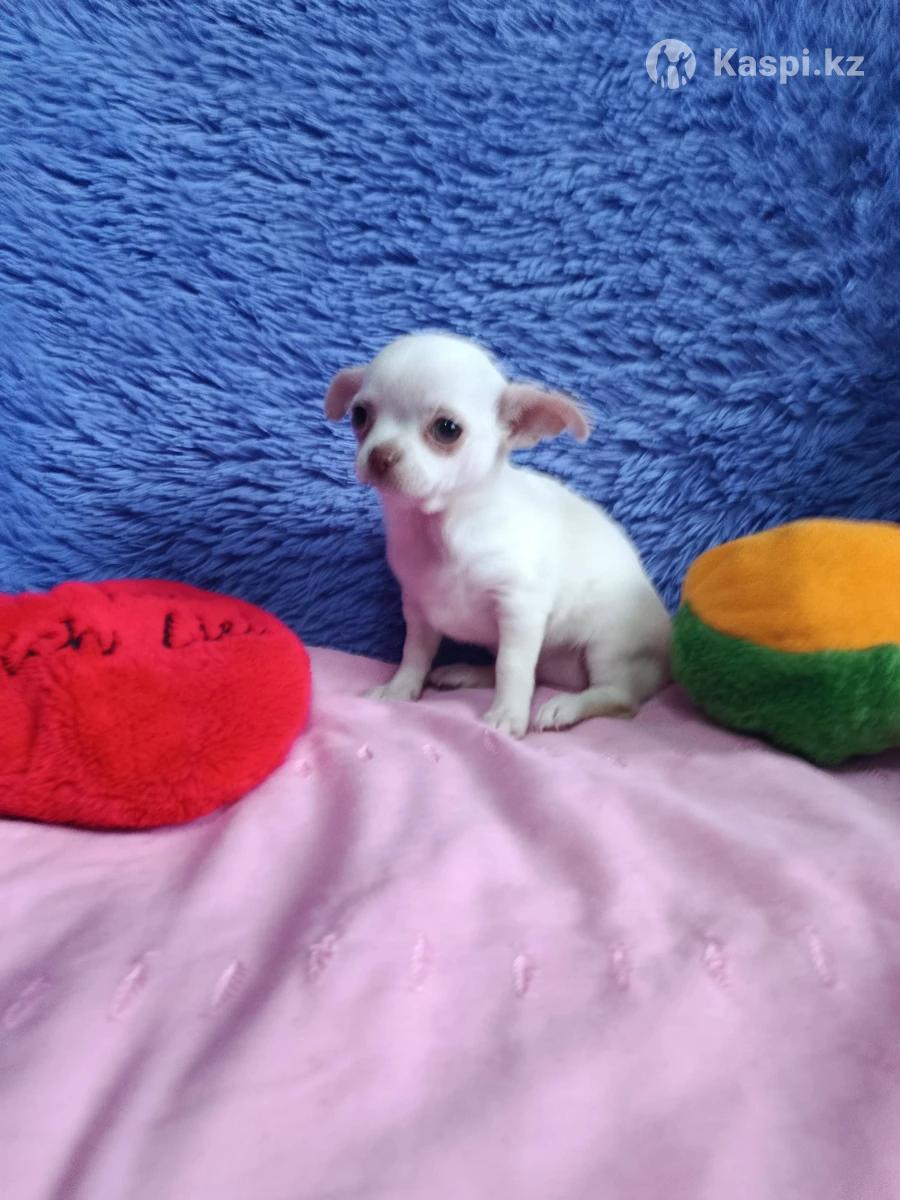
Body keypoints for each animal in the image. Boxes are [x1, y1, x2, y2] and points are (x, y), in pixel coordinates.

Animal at [325, 331, 670, 737]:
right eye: (360, 416)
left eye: (447, 429)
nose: (380, 455)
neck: (443, 528)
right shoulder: (418, 608)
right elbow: (414, 654)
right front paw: (399, 689)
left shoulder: (519, 609)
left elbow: (513, 668)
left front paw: (508, 715)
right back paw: (467, 672)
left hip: (609, 645)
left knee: (618, 698)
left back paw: (566, 706)